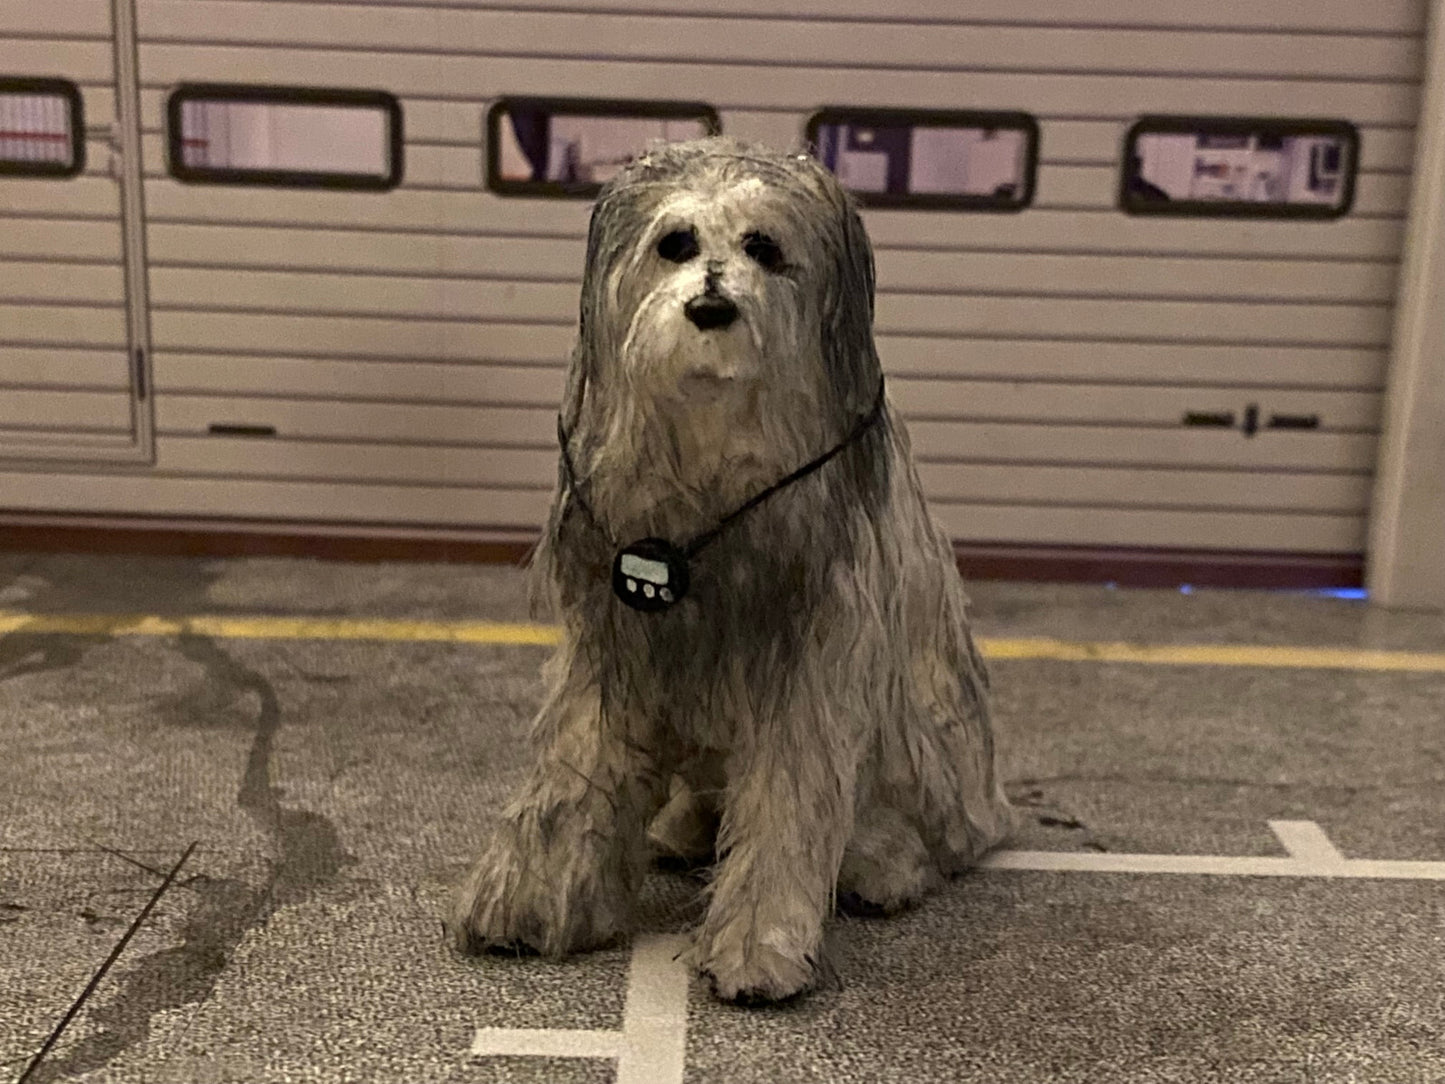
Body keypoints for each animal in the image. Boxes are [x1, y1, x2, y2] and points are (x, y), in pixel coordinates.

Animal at [449, 136, 1012, 1003]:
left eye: (764, 249)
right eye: (676, 243)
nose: (712, 308)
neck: (713, 452)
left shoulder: (807, 666)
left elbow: (786, 808)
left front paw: (758, 950)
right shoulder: (612, 654)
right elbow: (570, 773)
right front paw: (527, 900)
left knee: (920, 830)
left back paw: (883, 864)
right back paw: (681, 826)